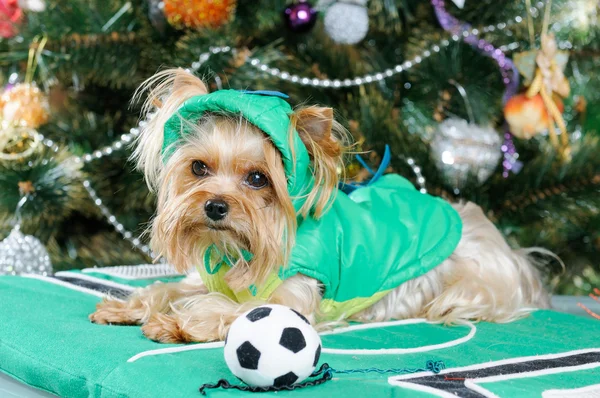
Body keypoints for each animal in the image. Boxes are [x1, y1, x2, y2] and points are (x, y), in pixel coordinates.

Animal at [86, 68, 552, 342]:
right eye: (198, 168)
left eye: (258, 178)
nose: (215, 207)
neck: (242, 249)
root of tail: (509, 248)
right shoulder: (210, 278)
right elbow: (168, 287)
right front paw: (127, 307)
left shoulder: (296, 297)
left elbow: (237, 311)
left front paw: (178, 323)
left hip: (472, 281)